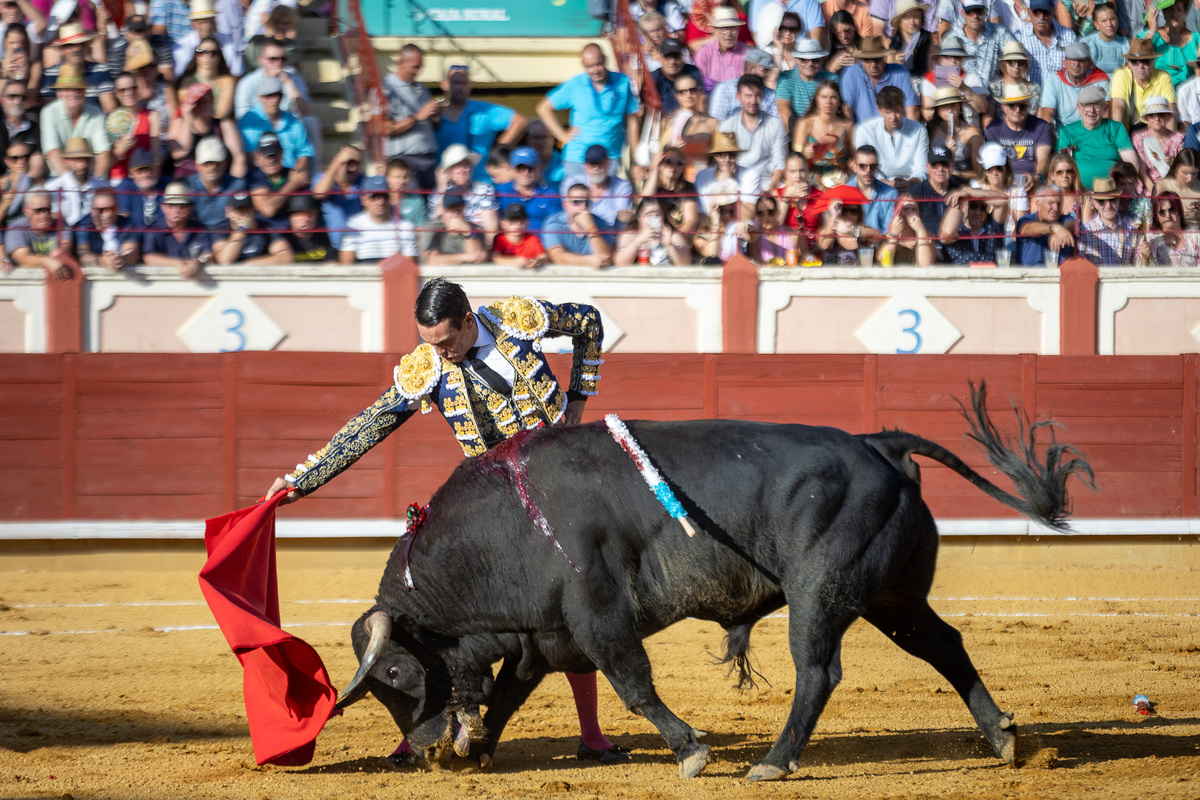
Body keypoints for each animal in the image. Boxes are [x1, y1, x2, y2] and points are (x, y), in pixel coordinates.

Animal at [333, 386, 1094, 782]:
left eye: (395, 671)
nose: (426, 749)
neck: (509, 523)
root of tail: (880, 444)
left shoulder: (597, 616)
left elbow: (635, 686)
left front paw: (692, 751)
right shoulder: (543, 635)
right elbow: (511, 696)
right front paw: (480, 751)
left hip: (821, 592)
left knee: (818, 672)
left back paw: (774, 763)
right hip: (893, 596)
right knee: (943, 645)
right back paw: (1002, 737)